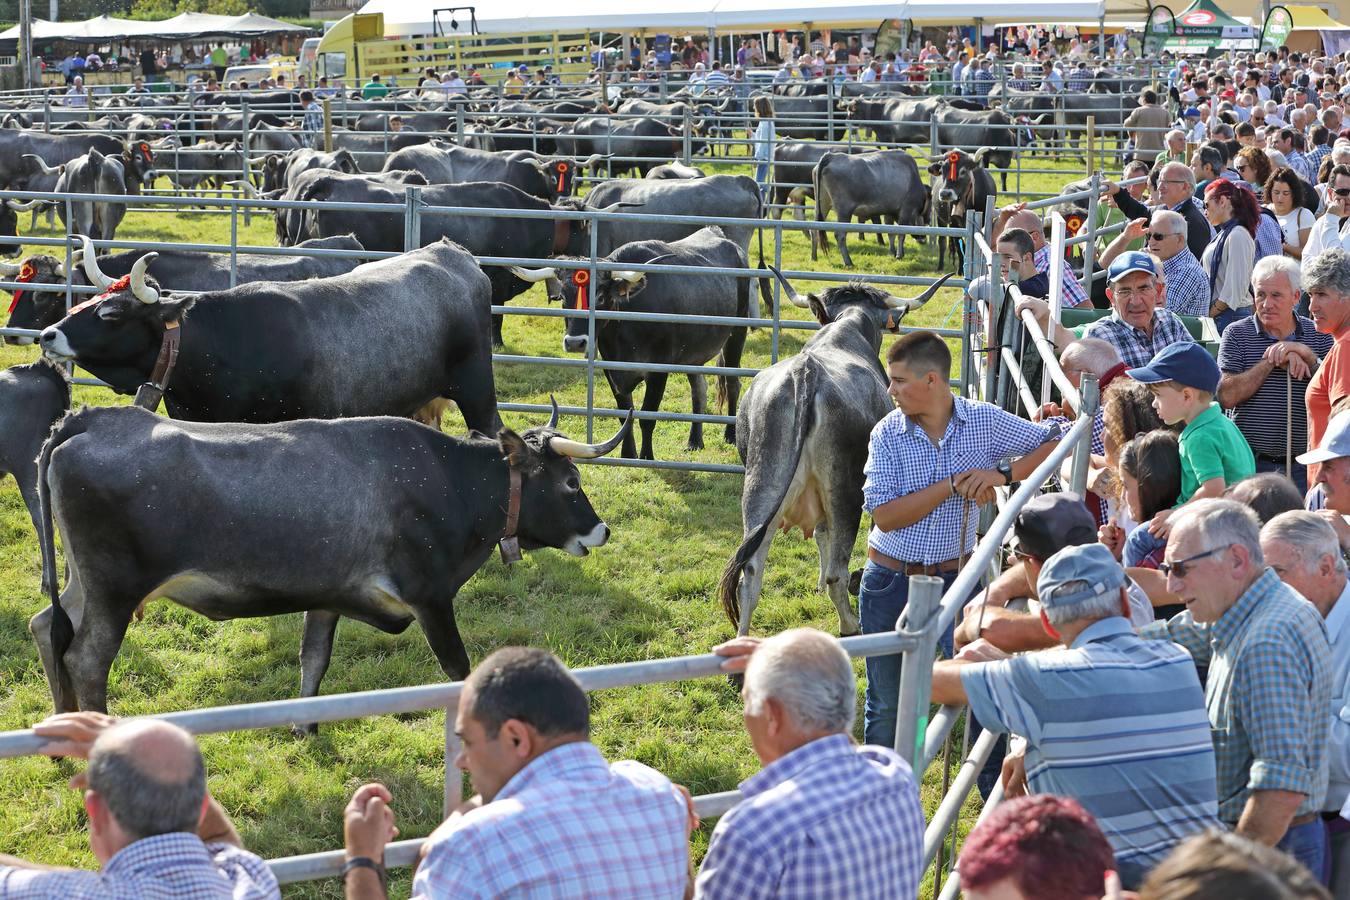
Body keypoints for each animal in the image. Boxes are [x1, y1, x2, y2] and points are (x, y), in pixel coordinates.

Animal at [712, 264, 955, 636]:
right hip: (846, 492)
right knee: (836, 573)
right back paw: (850, 625)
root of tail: (806, 372)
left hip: (761, 485)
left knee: (749, 577)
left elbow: (820, 538)